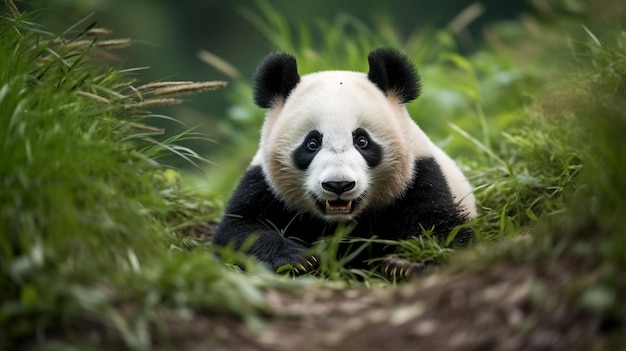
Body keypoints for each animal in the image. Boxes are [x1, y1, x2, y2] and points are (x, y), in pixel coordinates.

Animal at [212, 46, 476, 280]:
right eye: (312, 143)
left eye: (362, 141)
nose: (338, 185)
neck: (340, 223)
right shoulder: (264, 185)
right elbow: (239, 230)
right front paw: (297, 260)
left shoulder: (418, 176)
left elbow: (443, 230)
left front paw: (407, 264)